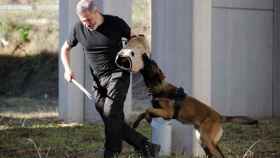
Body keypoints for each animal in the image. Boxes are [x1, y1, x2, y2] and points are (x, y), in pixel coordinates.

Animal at [115, 35, 258, 158]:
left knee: (217, 154)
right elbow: (144, 113)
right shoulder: (162, 113)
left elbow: (147, 110)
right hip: (204, 141)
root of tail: (219, 116)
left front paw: (146, 118)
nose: (145, 55)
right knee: (217, 154)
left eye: (151, 64)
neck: (159, 86)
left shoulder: (167, 113)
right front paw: (138, 122)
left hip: (206, 139)